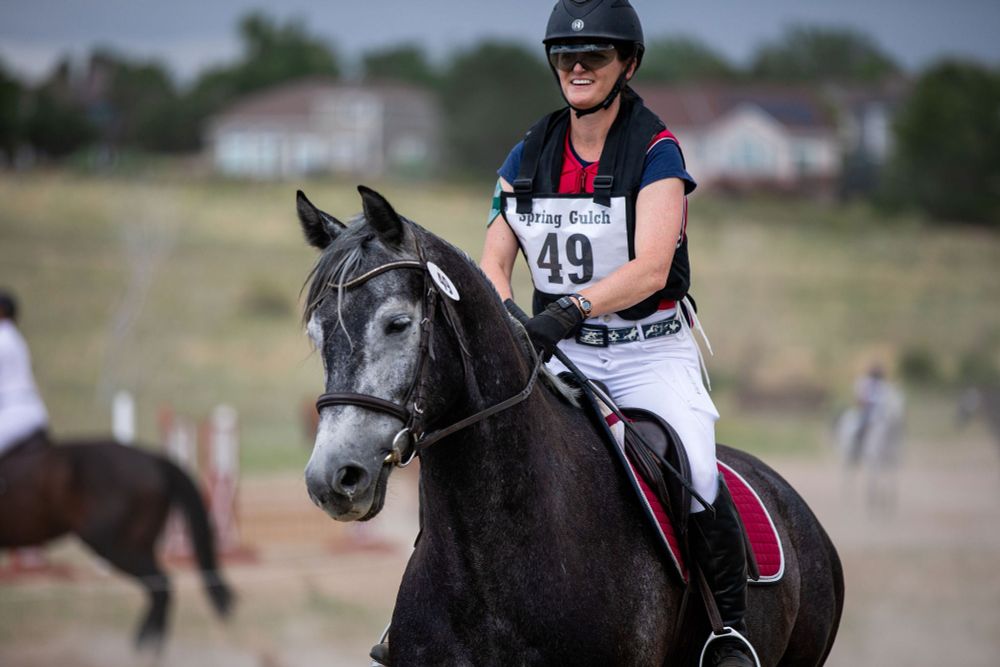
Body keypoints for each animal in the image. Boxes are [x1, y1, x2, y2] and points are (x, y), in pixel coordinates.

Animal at [0, 430, 234, 650]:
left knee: (160, 584)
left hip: (113, 546)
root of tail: (154, 459)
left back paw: (146, 644)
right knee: (158, 586)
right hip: (137, 543)